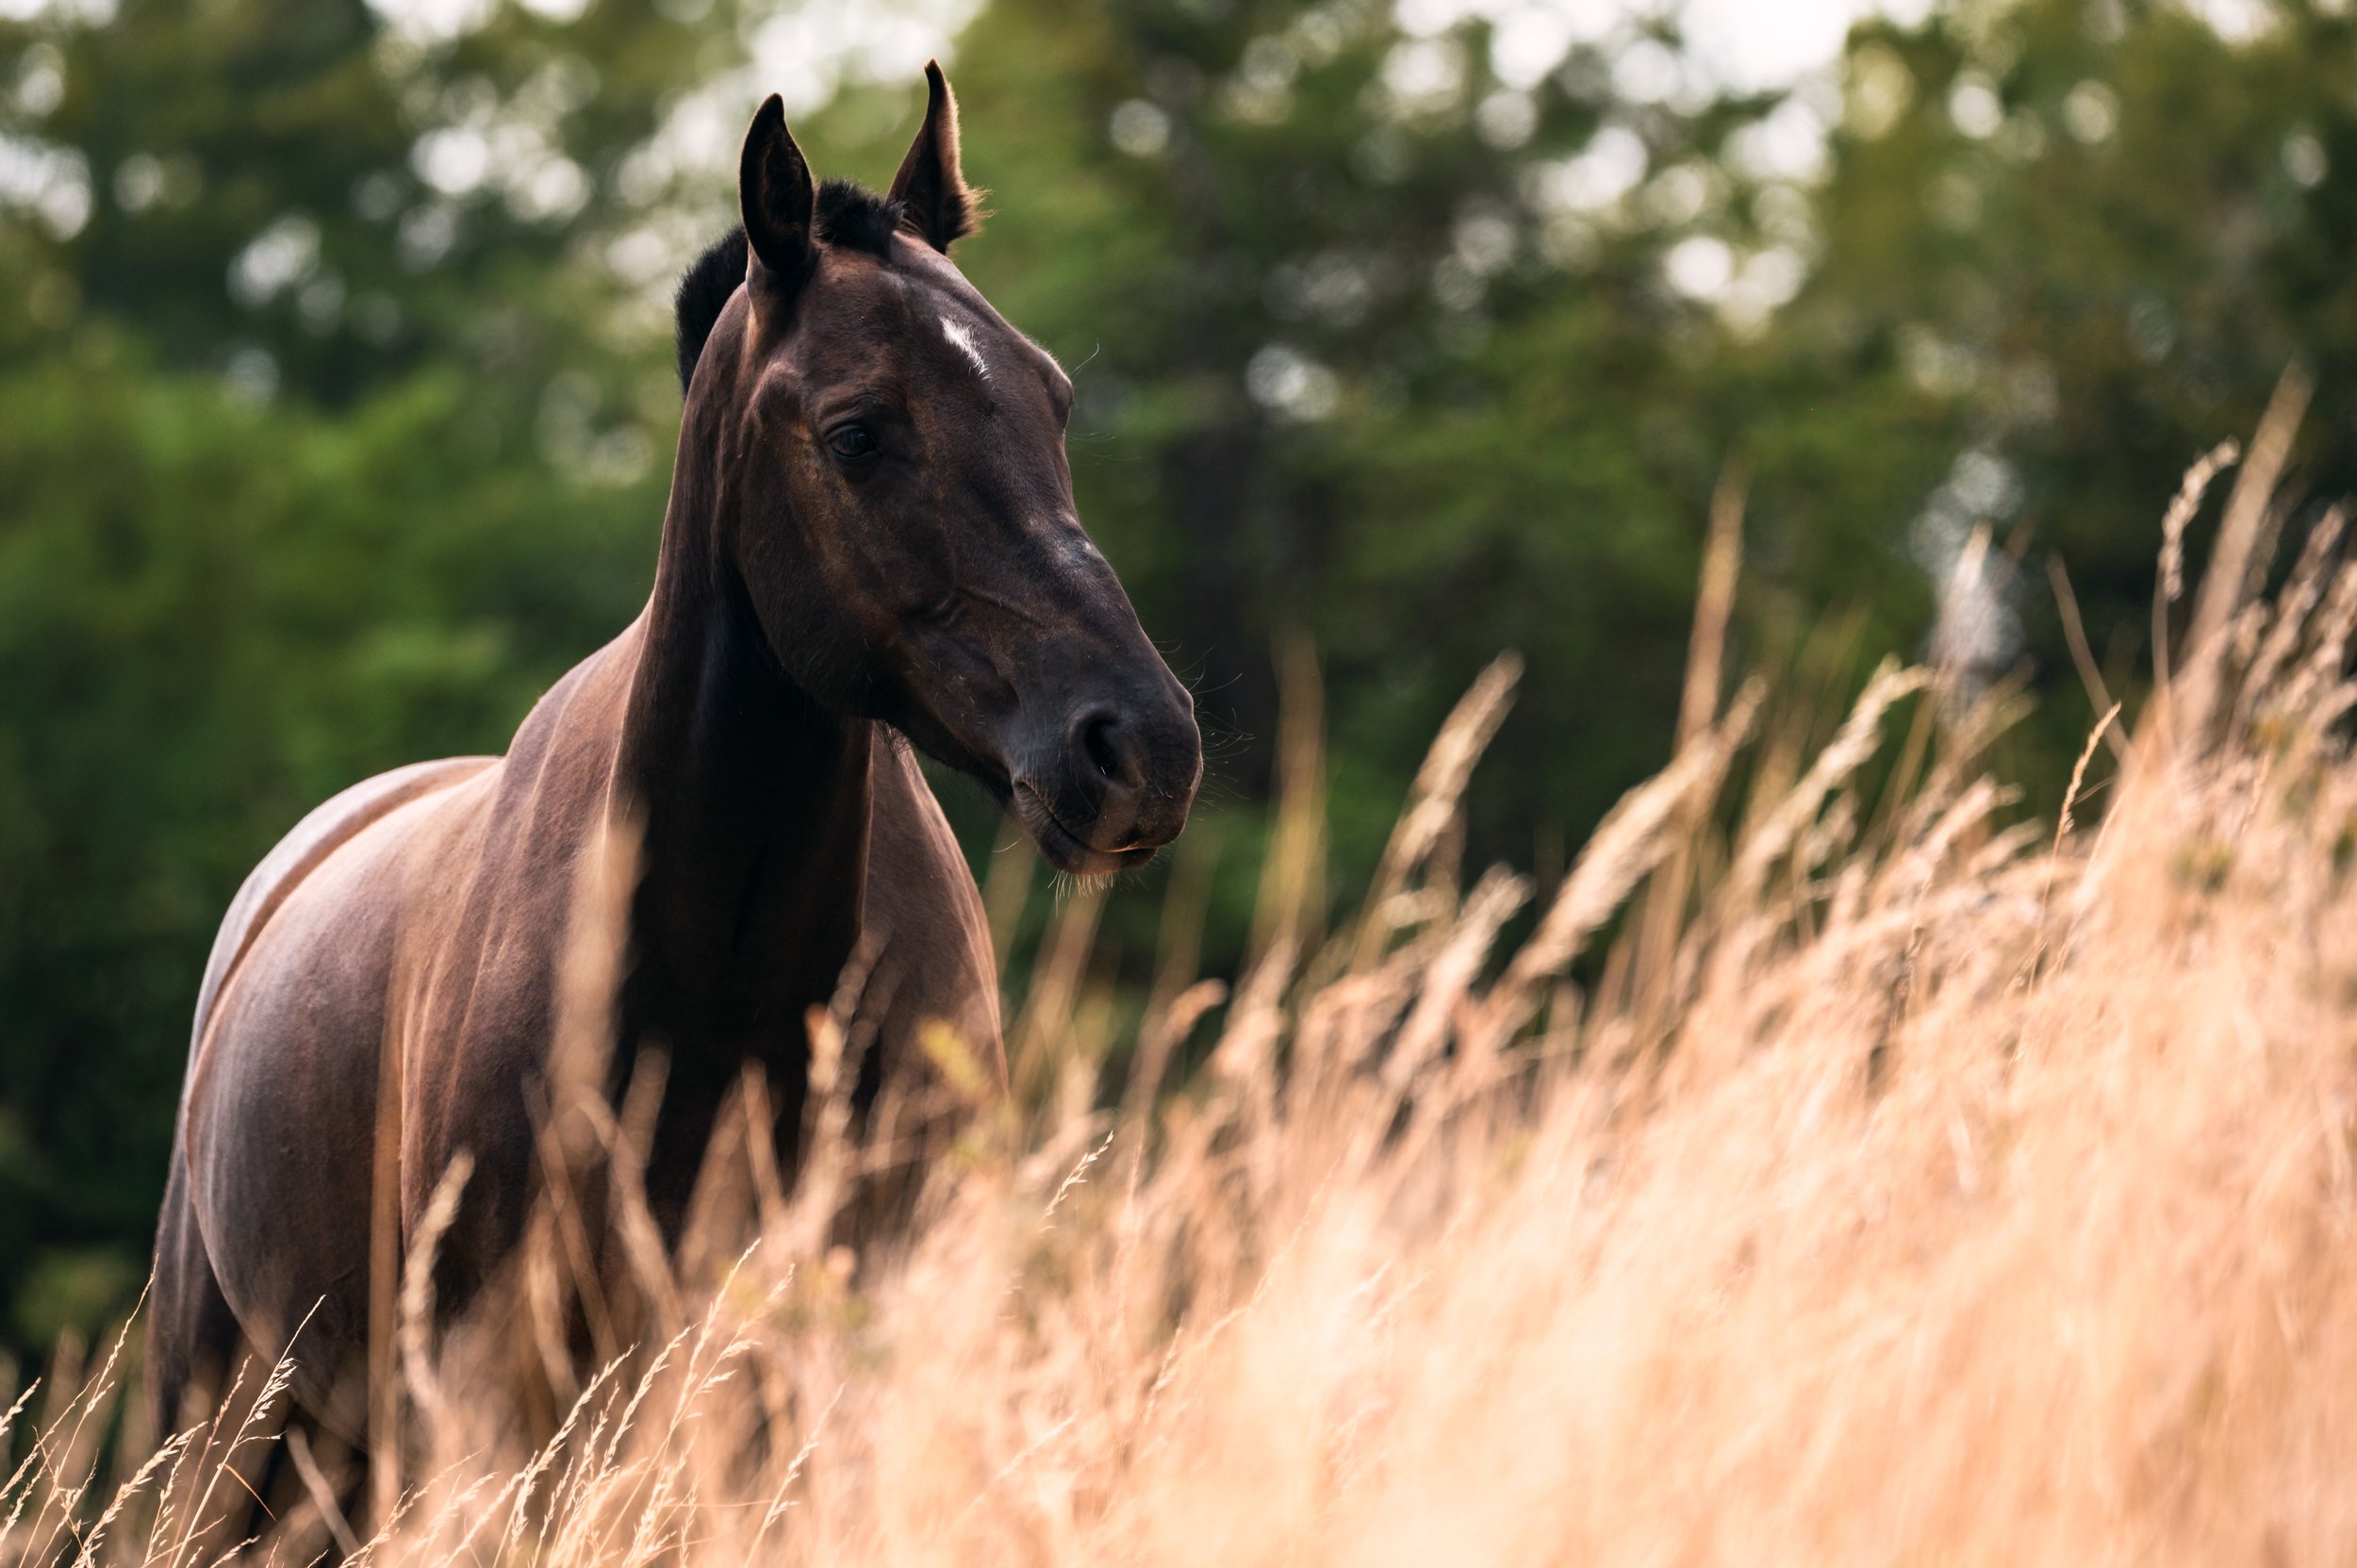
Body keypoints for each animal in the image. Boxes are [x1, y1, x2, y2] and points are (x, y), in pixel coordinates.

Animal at [147, 63, 1201, 1464]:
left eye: (1054, 397)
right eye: (858, 432)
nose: (1140, 743)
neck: (720, 985)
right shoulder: (496, 1400)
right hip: (224, 1423)